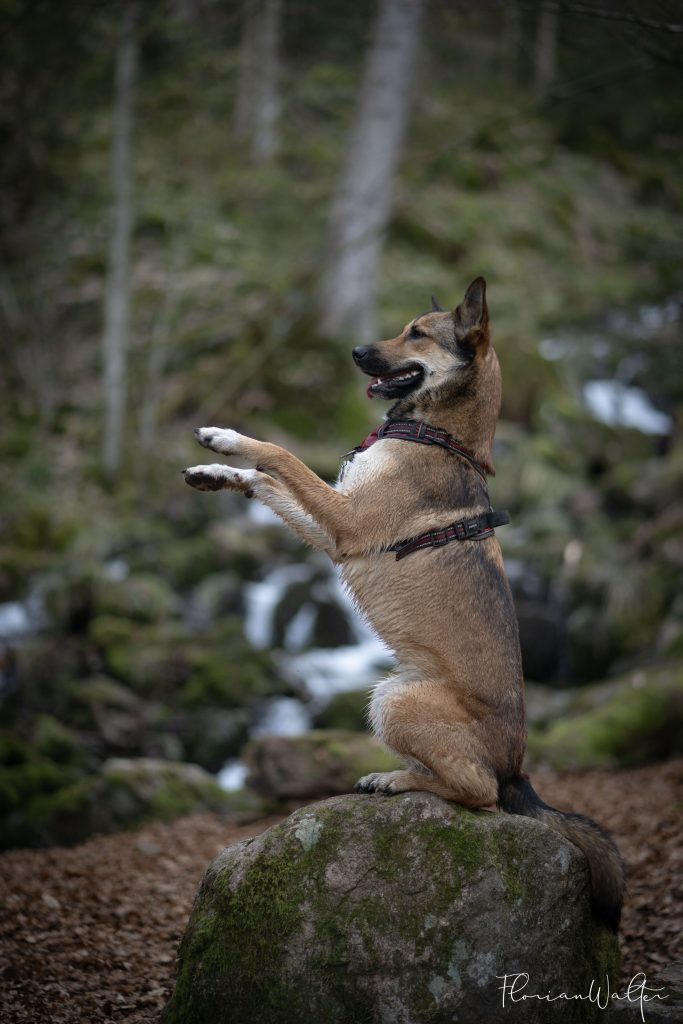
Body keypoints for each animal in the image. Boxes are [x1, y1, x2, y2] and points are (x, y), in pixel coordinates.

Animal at [183, 276, 626, 933]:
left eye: (417, 334)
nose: (356, 351)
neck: (438, 435)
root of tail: (518, 771)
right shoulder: (333, 533)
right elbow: (265, 481)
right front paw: (216, 471)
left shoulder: (345, 520)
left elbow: (280, 455)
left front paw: (229, 438)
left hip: (395, 699)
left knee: (480, 795)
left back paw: (399, 780)